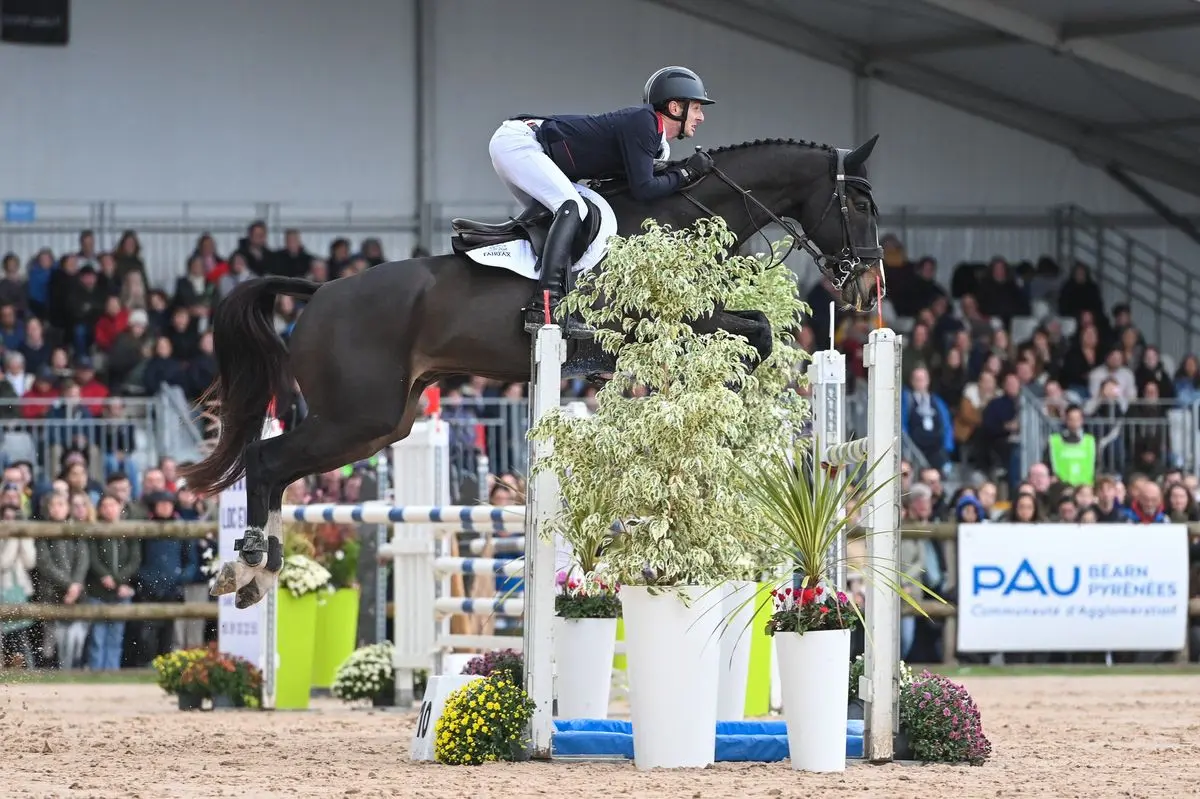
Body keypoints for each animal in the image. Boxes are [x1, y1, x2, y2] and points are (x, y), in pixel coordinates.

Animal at [181, 134, 886, 609]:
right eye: (858, 200)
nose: (869, 285)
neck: (682, 212)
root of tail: (320, 292)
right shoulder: (656, 321)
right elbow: (754, 331)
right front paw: (732, 401)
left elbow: (758, 328)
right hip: (357, 417)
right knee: (266, 461)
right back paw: (248, 567)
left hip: (381, 424)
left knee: (275, 468)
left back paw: (258, 572)